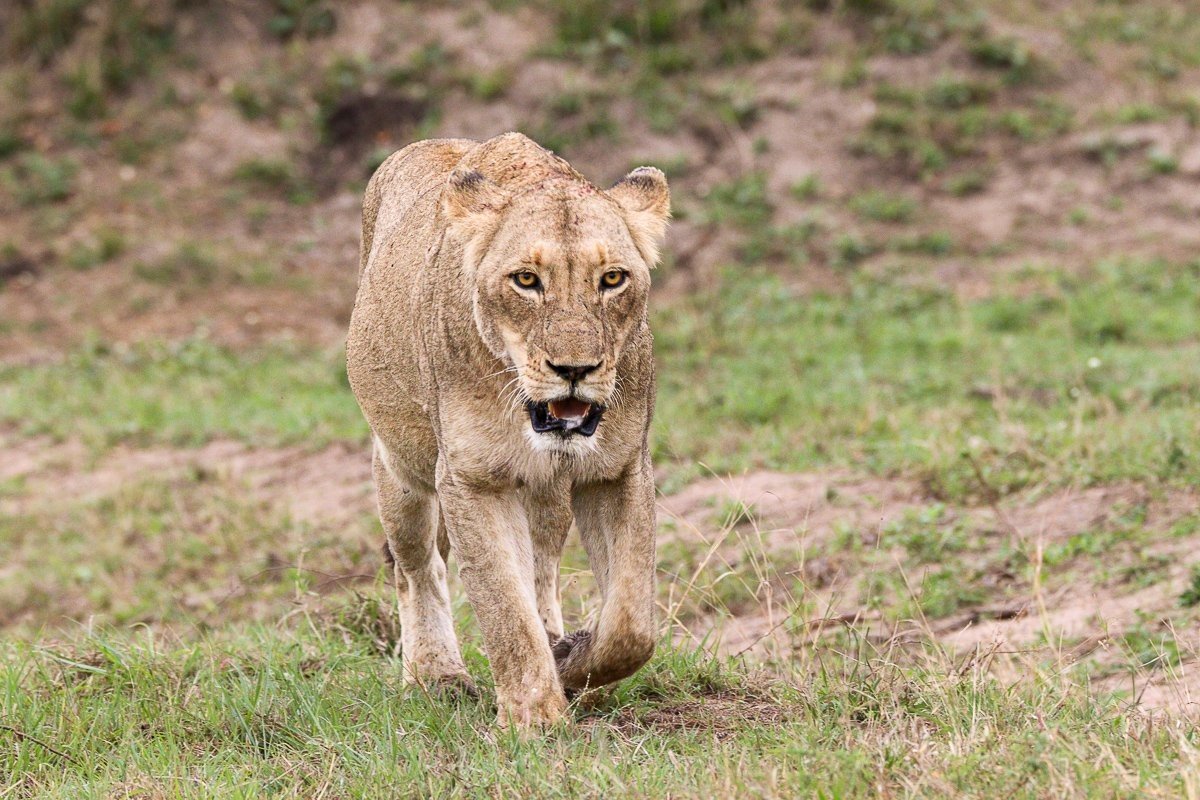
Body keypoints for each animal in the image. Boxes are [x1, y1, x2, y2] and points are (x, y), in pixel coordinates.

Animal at [346, 132, 670, 727]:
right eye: (526, 280)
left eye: (612, 279)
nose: (574, 370)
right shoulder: (471, 478)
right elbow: (503, 608)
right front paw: (533, 720)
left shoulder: (617, 469)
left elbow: (631, 623)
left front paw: (571, 663)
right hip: (399, 470)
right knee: (417, 568)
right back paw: (434, 677)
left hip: (548, 495)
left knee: (540, 568)